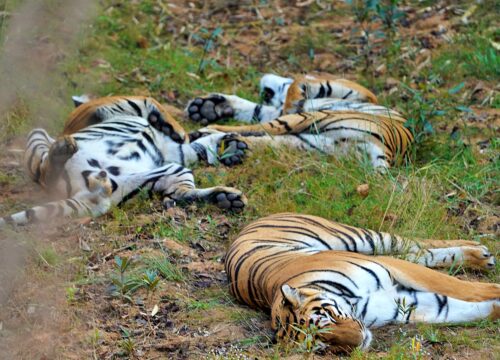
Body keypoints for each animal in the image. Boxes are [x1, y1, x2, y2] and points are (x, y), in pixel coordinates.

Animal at [0, 95, 250, 225]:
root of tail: (88, 195)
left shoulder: (176, 154)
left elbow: (198, 144)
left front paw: (234, 145)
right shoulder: (130, 101)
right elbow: (156, 105)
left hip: (167, 172)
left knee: (180, 194)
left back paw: (227, 198)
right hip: (37, 135)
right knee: (44, 172)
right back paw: (63, 148)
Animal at [186, 73, 412, 170]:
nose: (264, 83)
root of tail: (389, 150)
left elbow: (294, 86)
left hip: (310, 123)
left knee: (259, 128)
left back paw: (205, 133)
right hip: (310, 145)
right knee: (261, 139)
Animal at [227, 214, 500, 352]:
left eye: (327, 316)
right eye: (323, 346)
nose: (360, 341)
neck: (355, 303)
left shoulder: (391, 267)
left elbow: (459, 287)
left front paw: (495, 290)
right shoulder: (401, 304)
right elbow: (458, 308)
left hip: (363, 239)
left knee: (415, 244)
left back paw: (481, 252)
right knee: (420, 252)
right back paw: (481, 256)